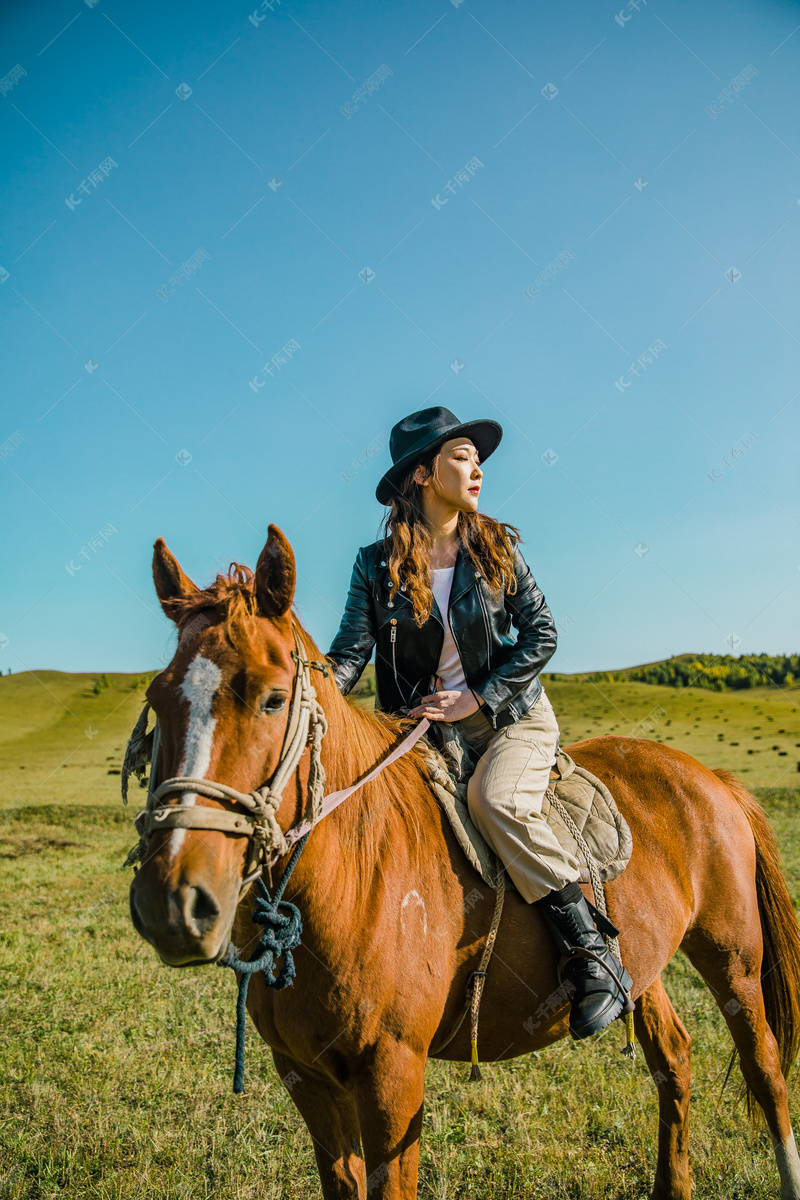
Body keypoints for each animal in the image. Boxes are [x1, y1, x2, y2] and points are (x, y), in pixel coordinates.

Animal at [128, 525, 800, 1200]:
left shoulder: (392, 1073)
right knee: (675, 1059)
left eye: (272, 699)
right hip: (645, 962)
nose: (172, 900)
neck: (352, 878)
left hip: (734, 958)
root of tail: (712, 778)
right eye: (158, 699)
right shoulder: (307, 1077)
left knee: (766, 1069)